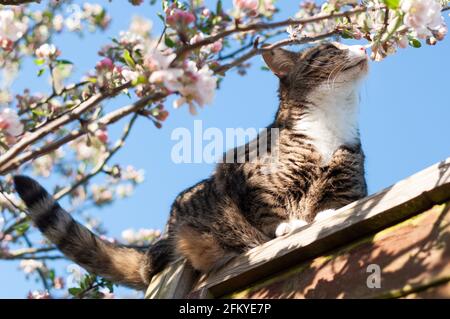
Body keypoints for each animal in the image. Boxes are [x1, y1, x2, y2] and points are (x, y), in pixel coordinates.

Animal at [12, 42, 370, 292]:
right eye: (331, 48)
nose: (364, 46)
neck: (330, 122)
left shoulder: (350, 183)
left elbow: (339, 203)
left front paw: (325, 215)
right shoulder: (241, 174)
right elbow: (266, 209)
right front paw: (289, 225)